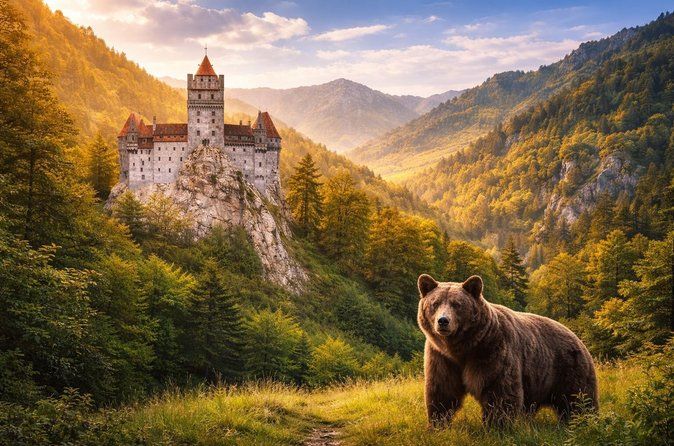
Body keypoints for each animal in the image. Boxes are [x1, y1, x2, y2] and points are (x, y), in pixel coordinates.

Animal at [417, 274, 598, 427]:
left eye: (457, 304)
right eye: (435, 303)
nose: (443, 321)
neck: (463, 347)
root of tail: (576, 336)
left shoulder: (491, 350)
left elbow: (499, 391)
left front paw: (496, 426)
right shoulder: (442, 357)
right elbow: (442, 390)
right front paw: (437, 424)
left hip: (569, 367)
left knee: (579, 399)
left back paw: (583, 422)